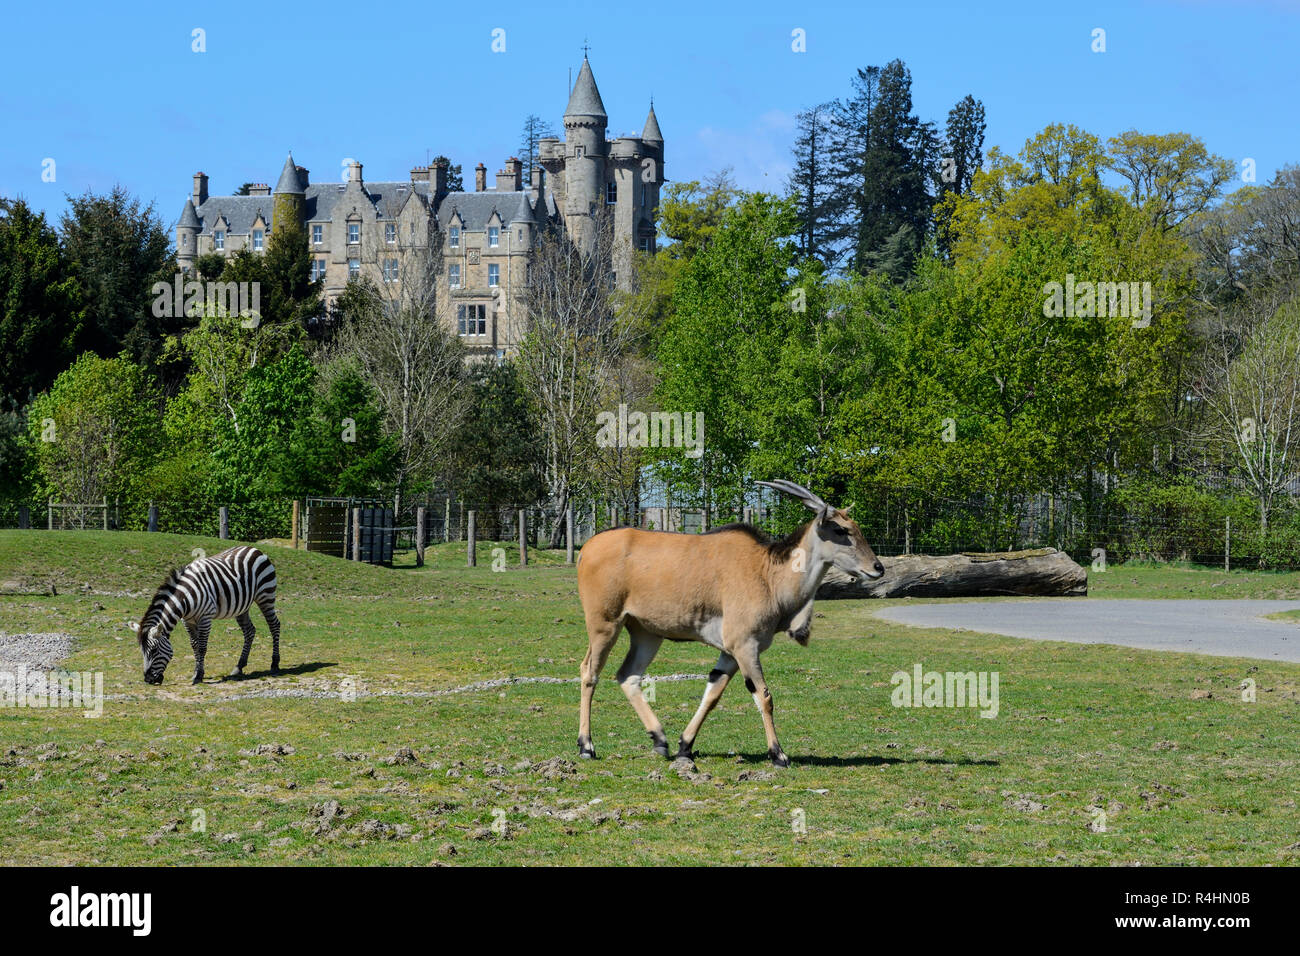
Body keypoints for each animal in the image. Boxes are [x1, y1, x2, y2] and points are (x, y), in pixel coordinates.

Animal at [129, 541, 282, 686]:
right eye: (142, 651)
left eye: (154, 650)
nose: (148, 679)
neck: (186, 597)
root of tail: (253, 548)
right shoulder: (188, 621)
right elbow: (194, 645)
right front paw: (196, 672)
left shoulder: (205, 617)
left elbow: (202, 647)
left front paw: (199, 676)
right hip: (242, 606)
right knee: (249, 631)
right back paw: (239, 667)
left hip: (265, 595)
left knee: (274, 625)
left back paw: (274, 664)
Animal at [577, 481, 883, 764]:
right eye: (841, 530)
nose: (877, 567)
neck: (767, 573)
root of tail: (587, 547)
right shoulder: (745, 647)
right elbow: (764, 696)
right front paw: (778, 754)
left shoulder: (731, 652)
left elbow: (713, 693)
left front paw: (684, 746)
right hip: (605, 625)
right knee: (589, 672)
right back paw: (586, 746)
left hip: (647, 633)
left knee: (628, 675)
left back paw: (660, 739)